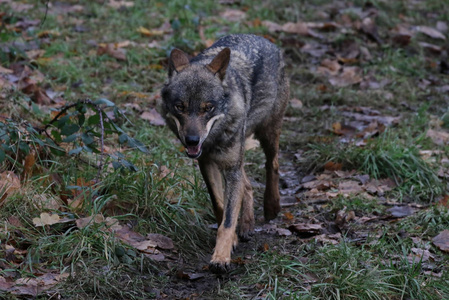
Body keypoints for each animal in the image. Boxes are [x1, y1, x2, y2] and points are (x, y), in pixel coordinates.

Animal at [163, 34, 288, 274]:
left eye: (208, 107)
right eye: (180, 107)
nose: (192, 140)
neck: (213, 139)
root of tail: (264, 39)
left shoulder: (230, 168)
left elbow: (228, 220)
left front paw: (221, 258)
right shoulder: (207, 163)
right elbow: (221, 207)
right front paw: (232, 242)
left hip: (267, 135)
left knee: (273, 165)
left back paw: (272, 206)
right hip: (236, 157)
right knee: (247, 184)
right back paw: (247, 225)